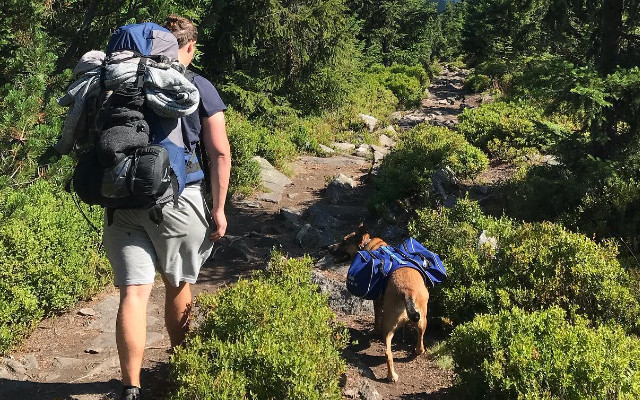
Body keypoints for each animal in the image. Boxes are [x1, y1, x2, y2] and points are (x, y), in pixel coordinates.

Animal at [336, 223, 430, 382]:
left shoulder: (377, 301)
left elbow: (376, 319)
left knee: (390, 351)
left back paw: (393, 374)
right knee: (415, 341)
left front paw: (374, 331)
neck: (368, 244)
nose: (328, 248)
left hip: (393, 322)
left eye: (343, 241)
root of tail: (407, 292)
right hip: (421, 319)